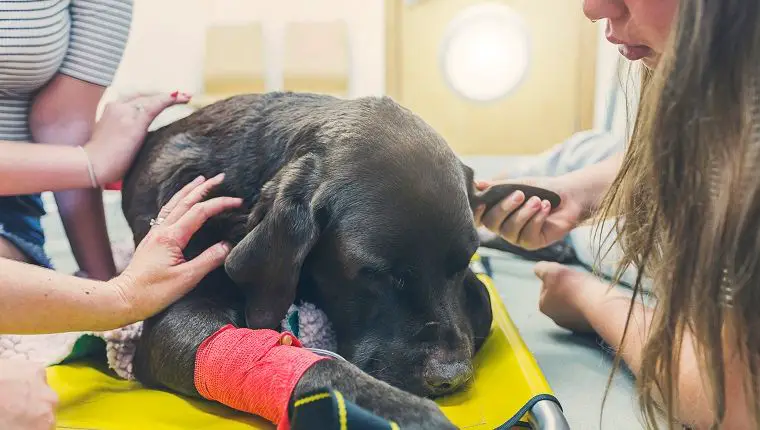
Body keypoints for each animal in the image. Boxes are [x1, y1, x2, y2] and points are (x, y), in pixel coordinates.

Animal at [120, 92, 492, 428]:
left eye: (466, 260)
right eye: (376, 274)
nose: (451, 376)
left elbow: (483, 299)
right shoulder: (174, 316)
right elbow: (321, 366)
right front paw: (404, 410)